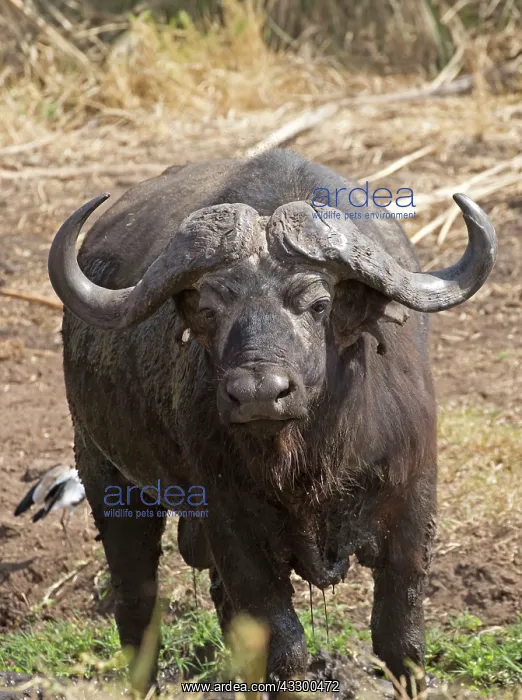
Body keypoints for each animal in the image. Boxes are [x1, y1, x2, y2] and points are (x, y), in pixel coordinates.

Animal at [48, 149, 497, 696]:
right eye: (210, 308)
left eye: (319, 304)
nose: (259, 392)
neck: (309, 462)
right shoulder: (234, 529)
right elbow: (284, 647)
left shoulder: (412, 513)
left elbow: (400, 644)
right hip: (104, 472)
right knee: (136, 598)